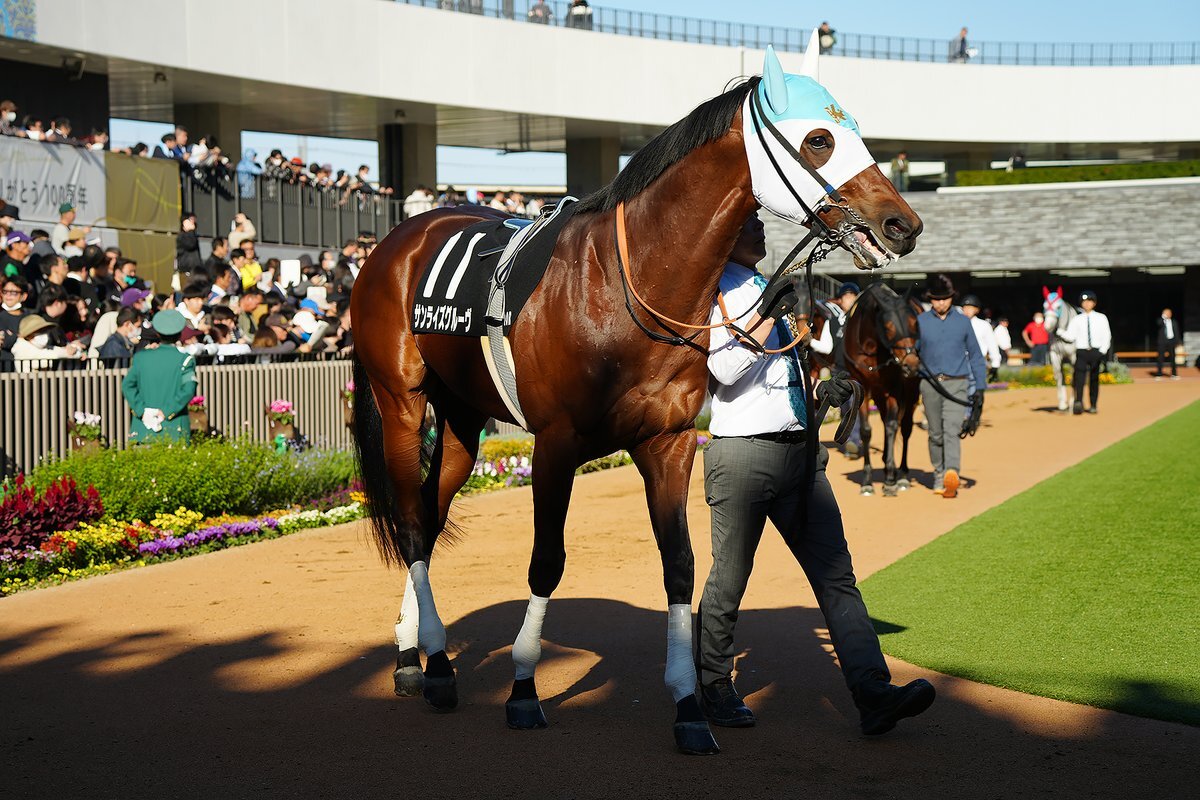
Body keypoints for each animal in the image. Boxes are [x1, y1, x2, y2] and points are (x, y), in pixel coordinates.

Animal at [841, 283, 922, 496]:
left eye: (914, 323)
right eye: (888, 327)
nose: (912, 364)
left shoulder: (895, 386)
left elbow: (893, 426)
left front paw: (891, 479)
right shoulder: (862, 384)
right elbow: (866, 431)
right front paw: (867, 481)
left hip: (910, 389)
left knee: (905, 427)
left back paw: (900, 474)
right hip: (878, 392)